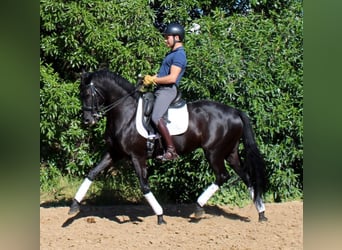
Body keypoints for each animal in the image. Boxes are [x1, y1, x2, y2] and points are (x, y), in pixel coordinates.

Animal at [68, 70, 268, 225]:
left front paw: (160, 215)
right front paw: (74, 206)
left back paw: (198, 207)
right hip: (230, 153)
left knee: (223, 176)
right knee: (247, 177)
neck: (126, 113)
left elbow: (144, 186)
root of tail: (234, 111)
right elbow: (92, 173)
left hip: (214, 152)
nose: (88, 121)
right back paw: (261, 212)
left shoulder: (137, 156)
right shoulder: (114, 153)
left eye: (88, 95)